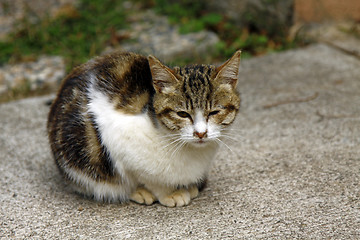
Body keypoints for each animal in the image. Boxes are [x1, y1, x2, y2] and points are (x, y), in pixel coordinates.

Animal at [47, 49, 239, 207]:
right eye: (182, 114)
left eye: (214, 112)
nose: (200, 133)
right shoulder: (117, 137)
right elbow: (147, 177)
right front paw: (168, 193)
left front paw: (188, 186)